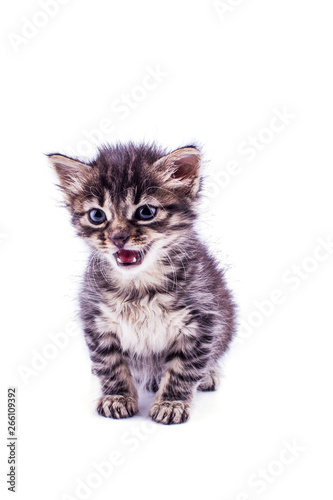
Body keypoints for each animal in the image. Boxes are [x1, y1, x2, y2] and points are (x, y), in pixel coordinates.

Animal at [49, 143, 236, 424]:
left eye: (145, 212)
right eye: (97, 215)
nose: (117, 238)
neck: (139, 286)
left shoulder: (201, 321)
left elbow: (184, 368)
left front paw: (171, 403)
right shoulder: (97, 320)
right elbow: (110, 364)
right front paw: (117, 397)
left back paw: (207, 375)